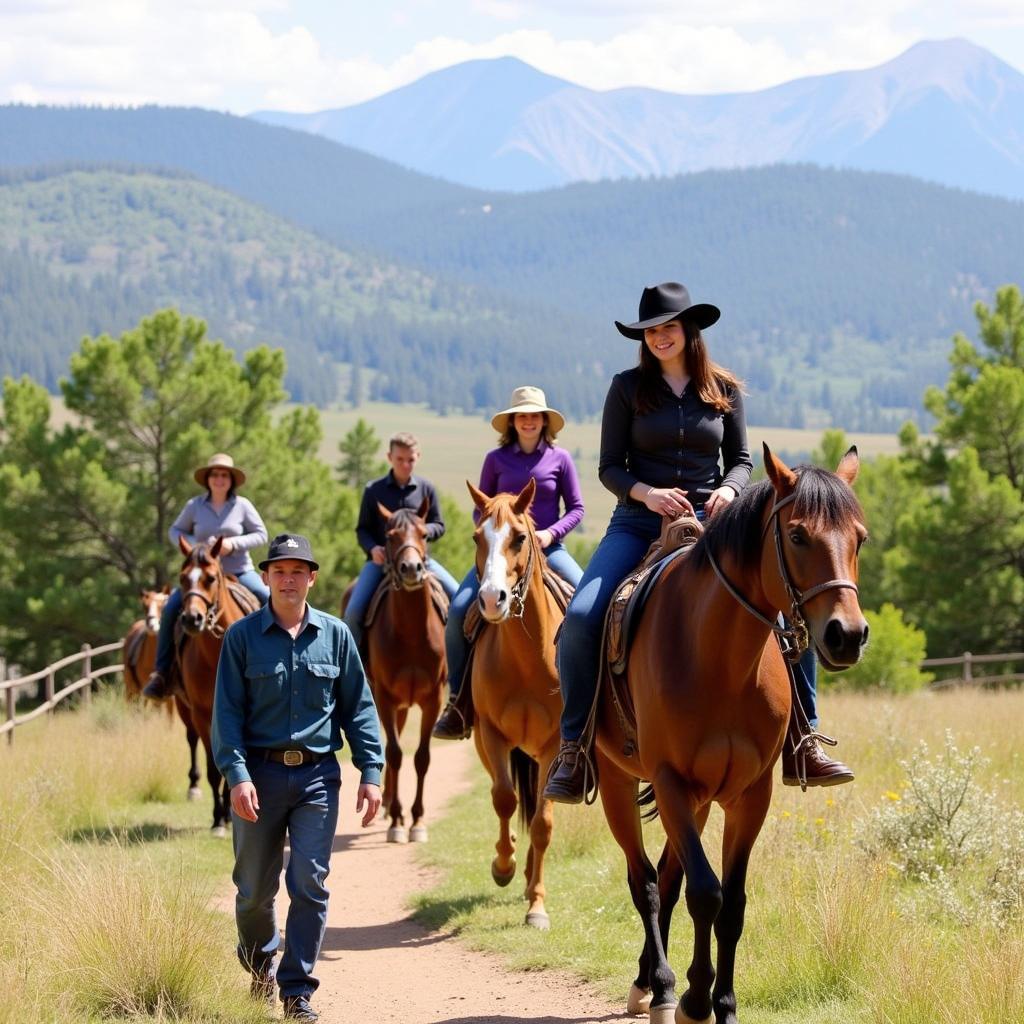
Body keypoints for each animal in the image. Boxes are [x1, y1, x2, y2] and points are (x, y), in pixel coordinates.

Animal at [344, 499, 444, 843]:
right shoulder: (385, 698)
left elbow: (422, 757)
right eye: (390, 537)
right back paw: (388, 806)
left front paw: (417, 822)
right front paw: (399, 822)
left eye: (424, 534)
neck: (412, 632)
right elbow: (396, 753)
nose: (411, 569)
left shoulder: (433, 699)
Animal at [598, 446, 868, 1024]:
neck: (718, 658)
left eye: (860, 537)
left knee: (667, 878)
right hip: (617, 784)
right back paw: (658, 986)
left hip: (699, 801)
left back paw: (653, 981)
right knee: (646, 882)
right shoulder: (672, 783)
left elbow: (733, 902)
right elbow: (706, 893)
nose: (848, 635)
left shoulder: (750, 794)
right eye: (797, 535)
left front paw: (722, 1002)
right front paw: (696, 1000)